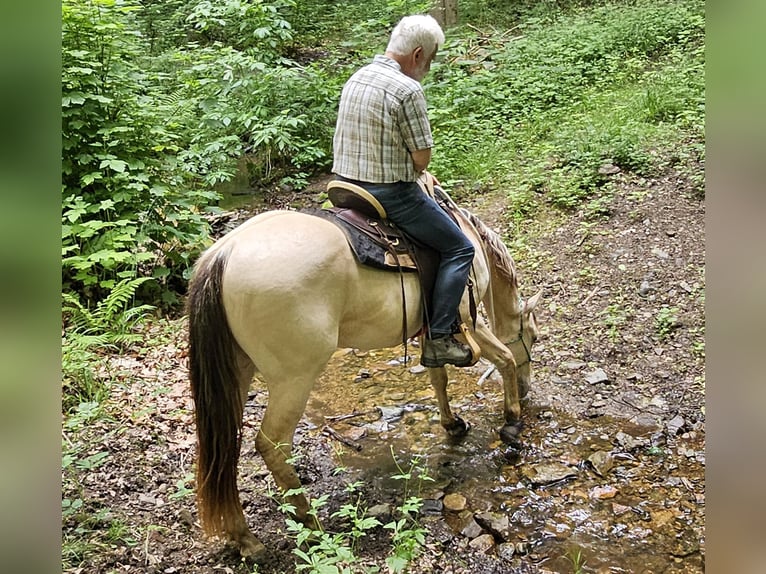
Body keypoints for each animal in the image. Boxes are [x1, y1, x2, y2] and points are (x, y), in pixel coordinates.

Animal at [186, 203, 542, 559]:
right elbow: (506, 359)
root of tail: (224, 252)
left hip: (238, 371)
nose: (526, 392)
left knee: (224, 447)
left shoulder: (430, 332)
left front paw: (452, 423)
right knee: (272, 445)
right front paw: (512, 421)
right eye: (535, 337)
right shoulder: (469, 321)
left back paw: (244, 537)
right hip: (294, 378)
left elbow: (438, 377)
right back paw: (311, 523)